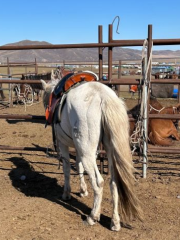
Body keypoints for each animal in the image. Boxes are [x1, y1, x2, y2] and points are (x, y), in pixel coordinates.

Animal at [40, 75, 142, 231]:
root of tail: (104, 97)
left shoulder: (63, 144)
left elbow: (67, 169)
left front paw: (67, 193)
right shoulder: (79, 148)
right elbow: (79, 166)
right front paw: (83, 190)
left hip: (87, 152)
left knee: (99, 182)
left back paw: (92, 216)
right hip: (109, 151)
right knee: (113, 183)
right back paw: (115, 222)